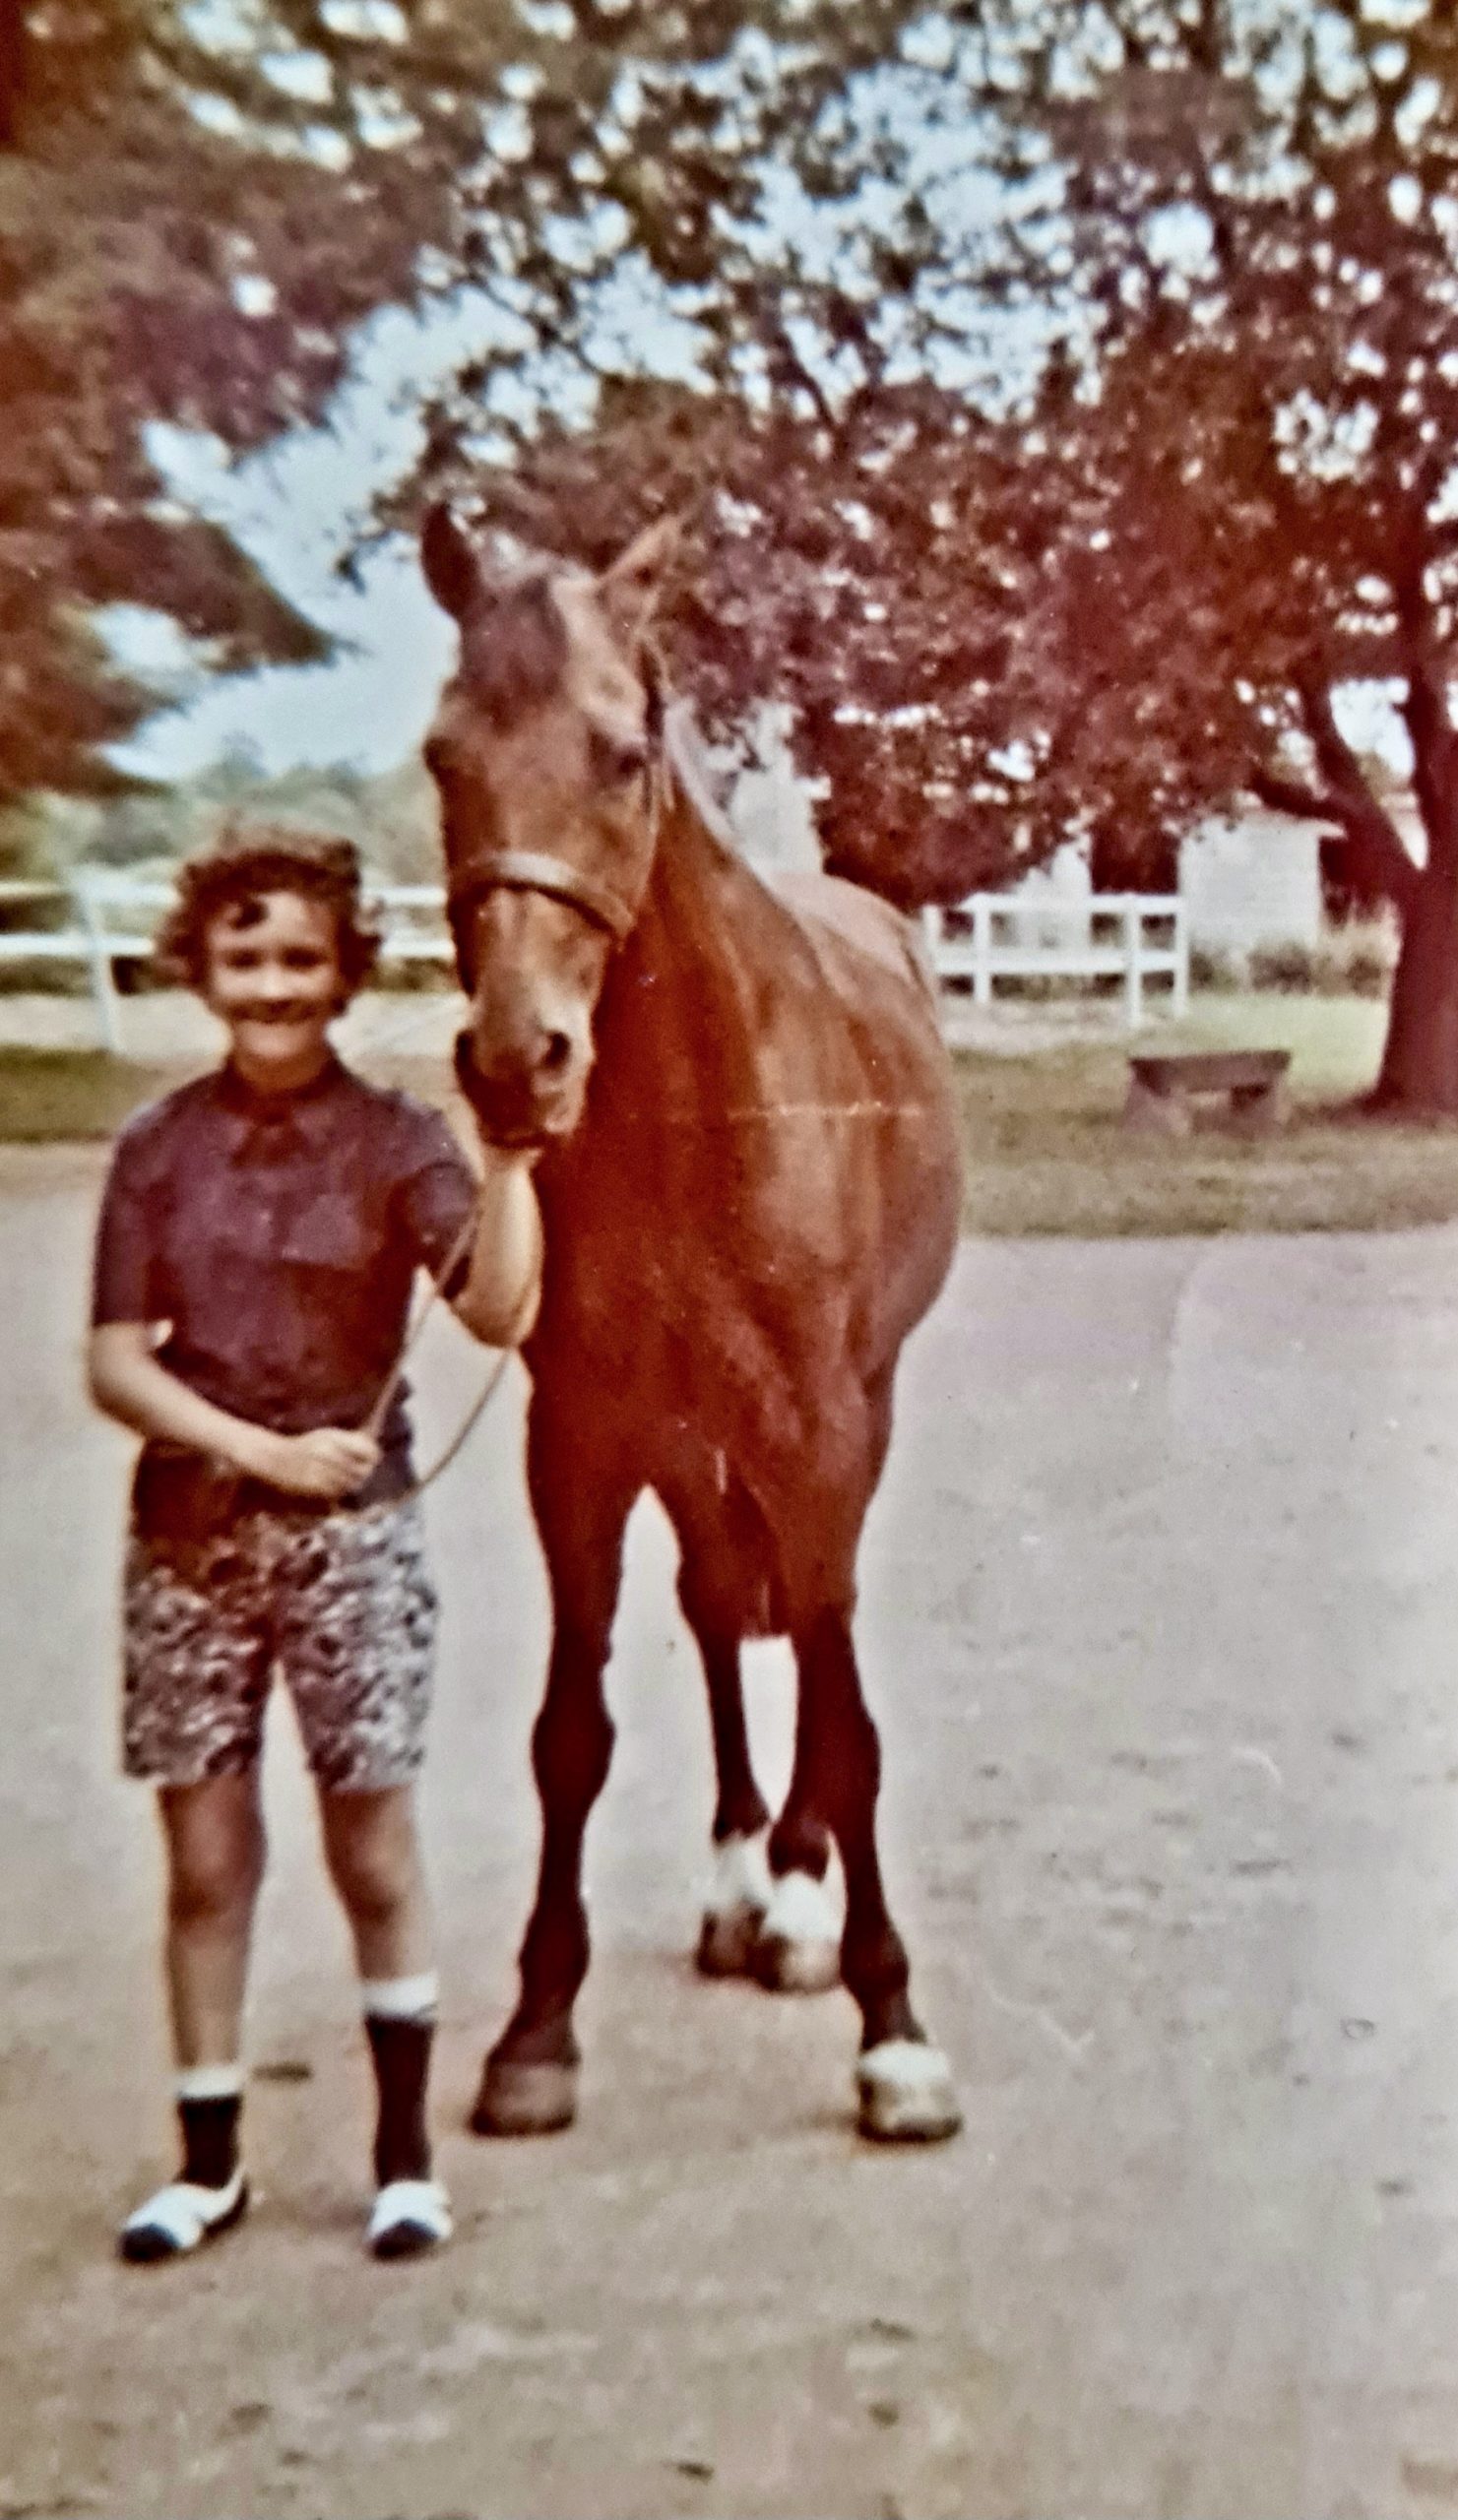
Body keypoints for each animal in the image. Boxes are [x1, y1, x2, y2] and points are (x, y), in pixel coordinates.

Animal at [420, 505, 965, 2144]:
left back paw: (790, 1890)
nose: (517, 1064)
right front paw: (537, 2028)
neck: (693, 1106)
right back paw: (741, 1883)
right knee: (723, 1607)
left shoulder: (817, 1432)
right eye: (443, 759)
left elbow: (848, 1722)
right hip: (683, 1437)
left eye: (618, 754)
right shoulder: (582, 1443)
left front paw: (890, 2025)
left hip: (850, 1408)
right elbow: (572, 1732)